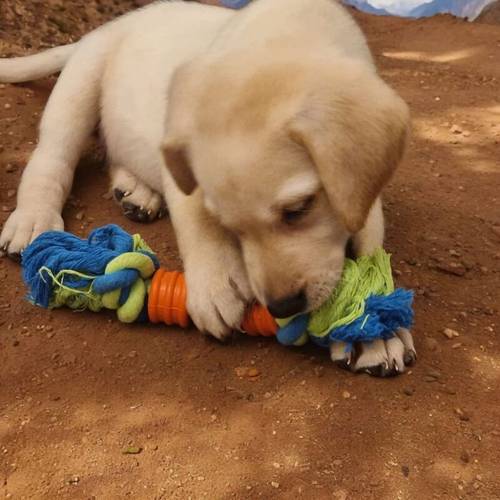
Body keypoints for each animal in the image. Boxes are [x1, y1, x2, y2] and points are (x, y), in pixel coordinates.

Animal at [0, 0, 414, 376]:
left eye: (299, 209)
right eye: (231, 228)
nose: (281, 307)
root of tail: (113, 24)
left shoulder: (363, 194)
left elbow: (371, 248)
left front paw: (375, 327)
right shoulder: (178, 158)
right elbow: (196, 220)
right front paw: (216, 286)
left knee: (115, 154)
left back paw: (135, 191)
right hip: (78, 89)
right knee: (51, 158)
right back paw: (34, 219)